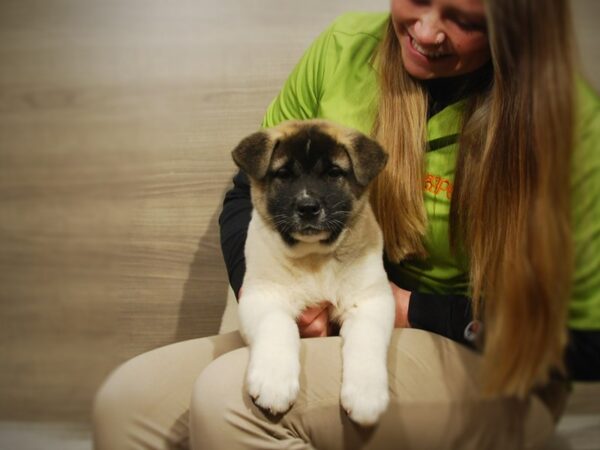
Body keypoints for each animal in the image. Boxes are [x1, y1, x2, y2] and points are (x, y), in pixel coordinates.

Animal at [232, 118, 396, 426]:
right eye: (284, 174)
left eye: (333, 173)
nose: (307, 207)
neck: (314, 258)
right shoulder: (262, 296)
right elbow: (277, 325)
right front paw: (274, 382)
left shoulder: (371, 301)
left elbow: (367, 339)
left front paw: (366, 395)